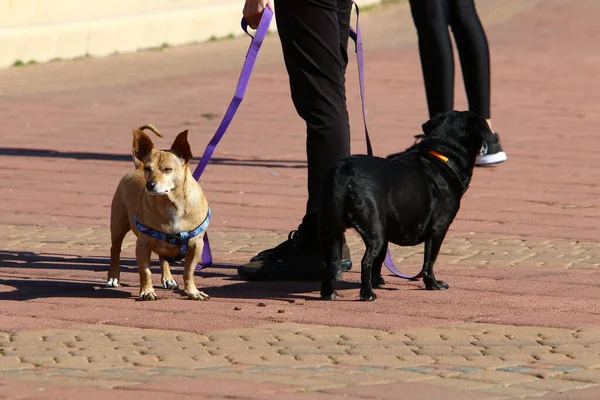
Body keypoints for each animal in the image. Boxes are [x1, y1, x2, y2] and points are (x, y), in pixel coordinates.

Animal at [108, 125, 211, 300]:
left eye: (168, 169)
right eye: (148, 169)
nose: (150, 185)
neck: (171, 204)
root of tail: (137, 166)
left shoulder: (196, 245)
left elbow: (188, 271)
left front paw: (193, 292)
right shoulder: (143, 245)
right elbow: (145, 272)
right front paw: (147, 291)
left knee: (163, 258)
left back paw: (168, 278)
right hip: (118, 226)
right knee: (115, 250)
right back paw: (113, 277)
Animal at [318, 109, 492, 300]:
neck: (444, 156)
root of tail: (345, 172)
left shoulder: (387, 230)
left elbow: (381, 259)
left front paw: (377, 281)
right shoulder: (438, 229)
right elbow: (429, 261)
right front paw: (433, 284)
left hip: (331, 228)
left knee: (328, 262)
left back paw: (329, 293)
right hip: (374, 229)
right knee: (366, 260)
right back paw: (367, 294)